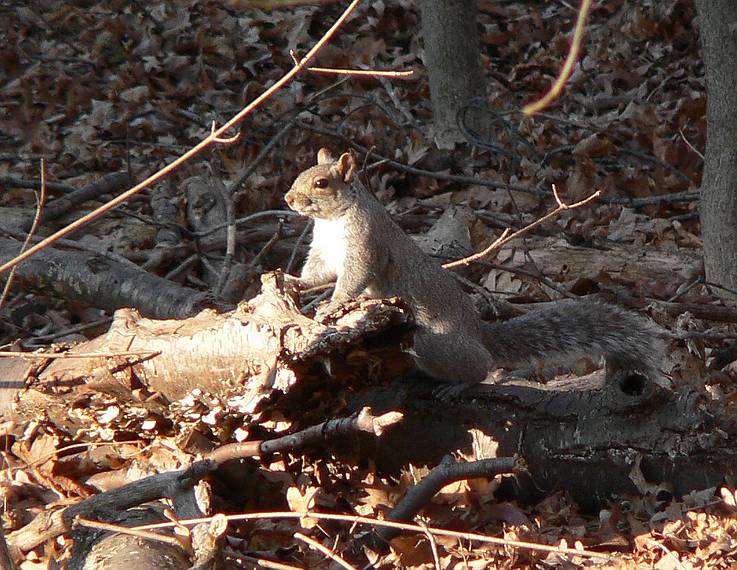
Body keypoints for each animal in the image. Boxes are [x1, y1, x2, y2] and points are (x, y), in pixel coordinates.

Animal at [284, 148, 664, 390]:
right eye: (300, 175)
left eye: (321, 183)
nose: (288, 199)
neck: (333, 221)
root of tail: (480, 335)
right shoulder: (323, 252)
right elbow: (318, 273)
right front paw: (292, 282)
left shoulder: (367, 243)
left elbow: (355, 277)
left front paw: (332, 304)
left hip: (435, 343)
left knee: (479, 368)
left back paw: (459, 384)